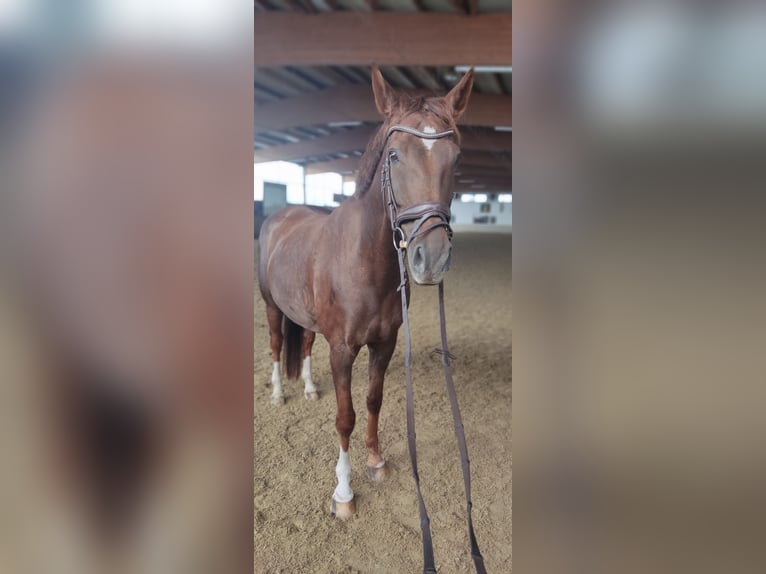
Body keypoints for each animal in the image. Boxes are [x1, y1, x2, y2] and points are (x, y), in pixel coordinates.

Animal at [258, 67, 474, 520]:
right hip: (271, 307)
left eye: (457, 159)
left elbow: (374, 400)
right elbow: (346, 416)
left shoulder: (385, 343)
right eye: (394, 156)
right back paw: (278, 393)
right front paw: (343, 492)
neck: (363, 260)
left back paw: (308, 388)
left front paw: (375, 461)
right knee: (275, 344)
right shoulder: (342, 349)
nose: (432, 259)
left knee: (304, 343)